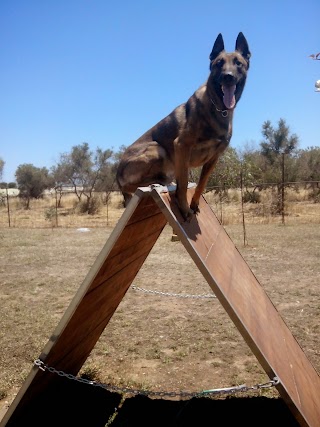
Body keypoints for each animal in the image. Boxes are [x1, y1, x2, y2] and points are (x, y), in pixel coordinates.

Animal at [115, 32, 250, 221]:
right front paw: (185, 208)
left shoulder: (213, 158)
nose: (228, 76)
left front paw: (194, 204)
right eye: (219, 63)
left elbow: (201, 184)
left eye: (238, 63)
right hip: (157, 148)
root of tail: (117, 175)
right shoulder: (181, 146)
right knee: (134, 185)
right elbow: (184, 181)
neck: (218, 109)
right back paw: (158, 183)